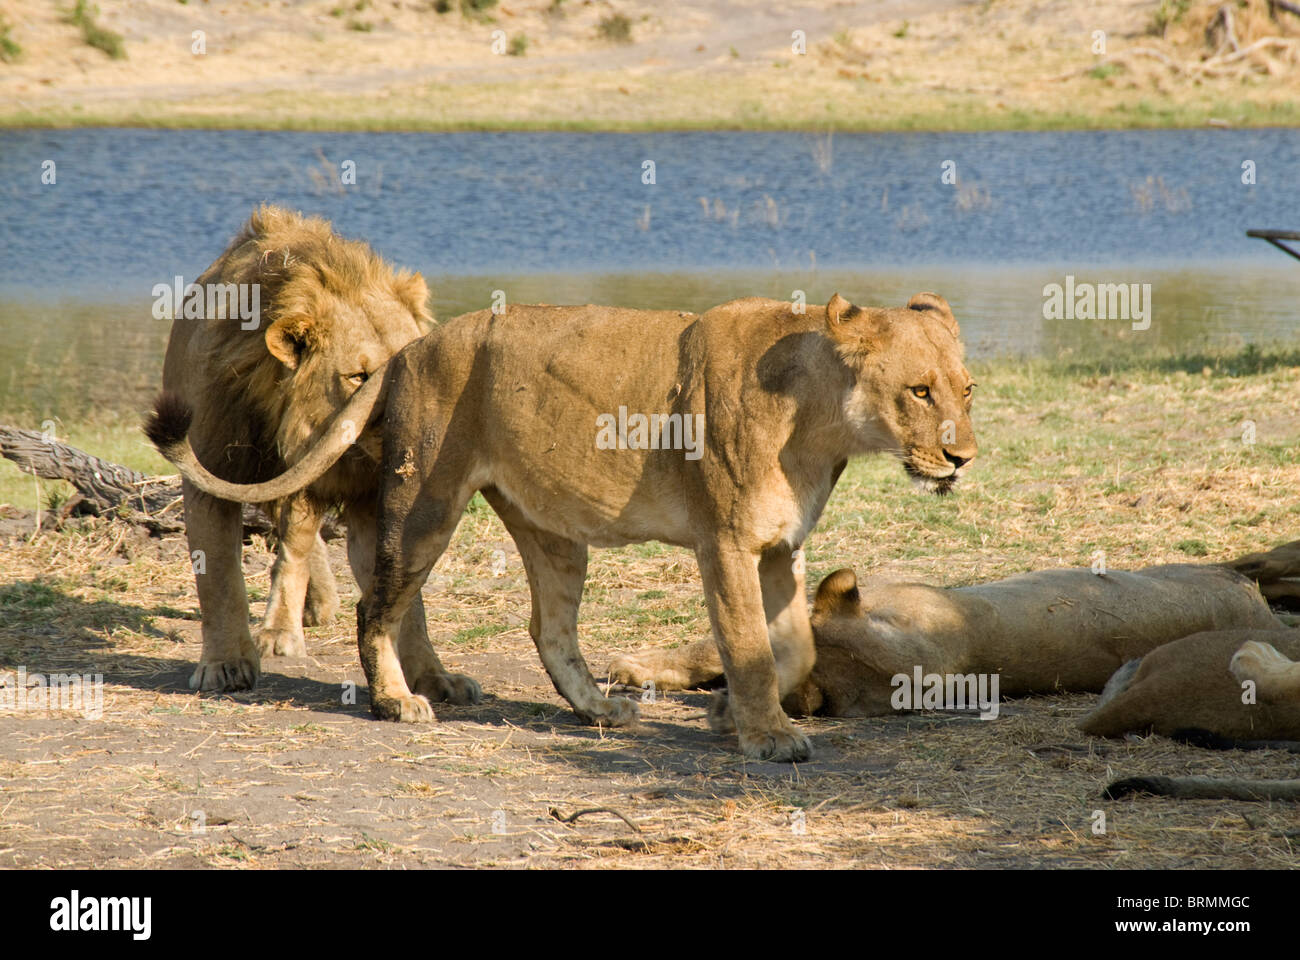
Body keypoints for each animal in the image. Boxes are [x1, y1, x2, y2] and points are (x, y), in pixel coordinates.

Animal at [143, 205, 478, 707]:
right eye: (359, 376)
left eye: (412, 365)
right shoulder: (210, 472)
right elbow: (218, 576)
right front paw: (225, 665)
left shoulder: (368, 497)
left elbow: (405, 602)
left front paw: (432, 677)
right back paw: (281, 629)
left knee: (298, 540)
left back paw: (308, 609)